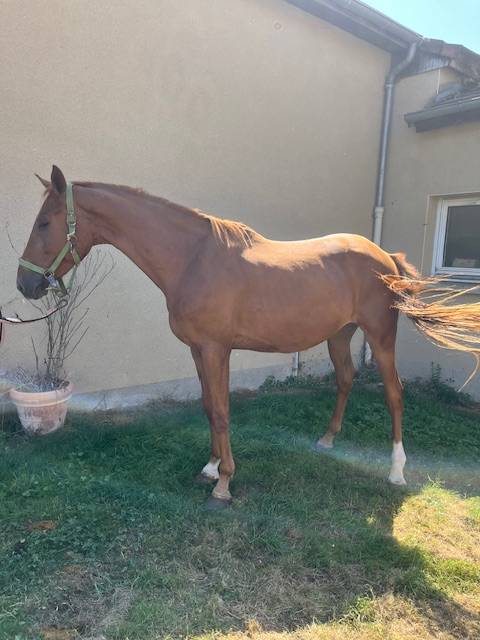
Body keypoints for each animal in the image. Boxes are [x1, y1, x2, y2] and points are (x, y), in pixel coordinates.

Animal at [17, 166, 480, 508]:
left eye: (44, 222)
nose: (25, 284)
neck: (192, 258)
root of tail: (386, 257)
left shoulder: (215, 349)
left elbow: (222, 411)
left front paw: (223, 484)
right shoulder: (197, 351)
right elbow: (208, 407)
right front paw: (209, 467)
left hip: (380, 337)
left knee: (394, 394)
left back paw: (396, 471)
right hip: (339, 336)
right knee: (346, 379)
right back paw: (327, 440)